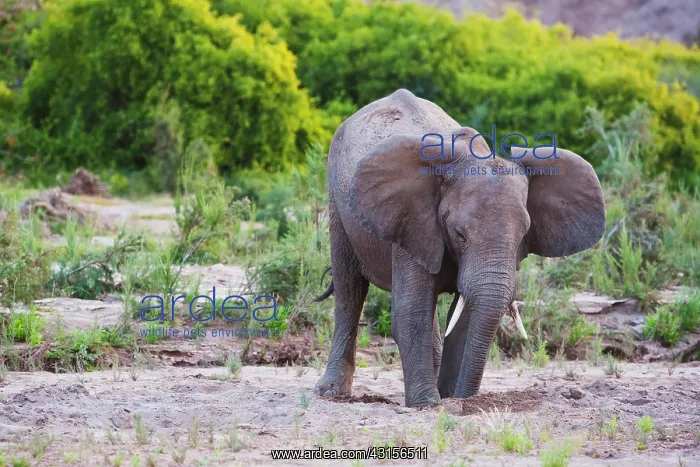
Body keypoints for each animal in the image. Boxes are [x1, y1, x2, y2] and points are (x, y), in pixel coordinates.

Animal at [313, 89, 605, 407]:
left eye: (524, 235)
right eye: (459, 234)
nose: (465, 399)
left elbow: (464, 318)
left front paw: (453, 400)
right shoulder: (413, 220)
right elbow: (410, 311)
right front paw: (427, 405)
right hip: (336, 201)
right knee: (349, 289)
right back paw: (330, 392)